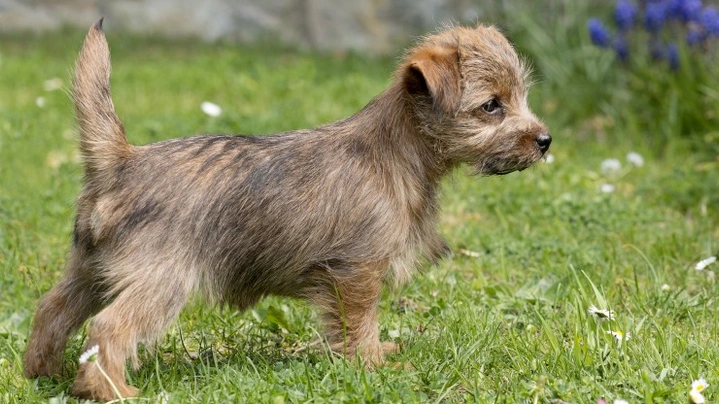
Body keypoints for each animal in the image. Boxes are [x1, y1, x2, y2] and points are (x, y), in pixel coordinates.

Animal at [22, 19, 552, 400]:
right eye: (491, 106)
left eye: (521, 97)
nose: (545, 140)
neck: (398, 152)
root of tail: (121, 161)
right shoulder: (356, 272)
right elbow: (360, 323)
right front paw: (374, 366)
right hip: (162, 280)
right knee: (108, 327)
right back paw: (111, 390)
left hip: (90, 270)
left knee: (53, 308)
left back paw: (42, 372)